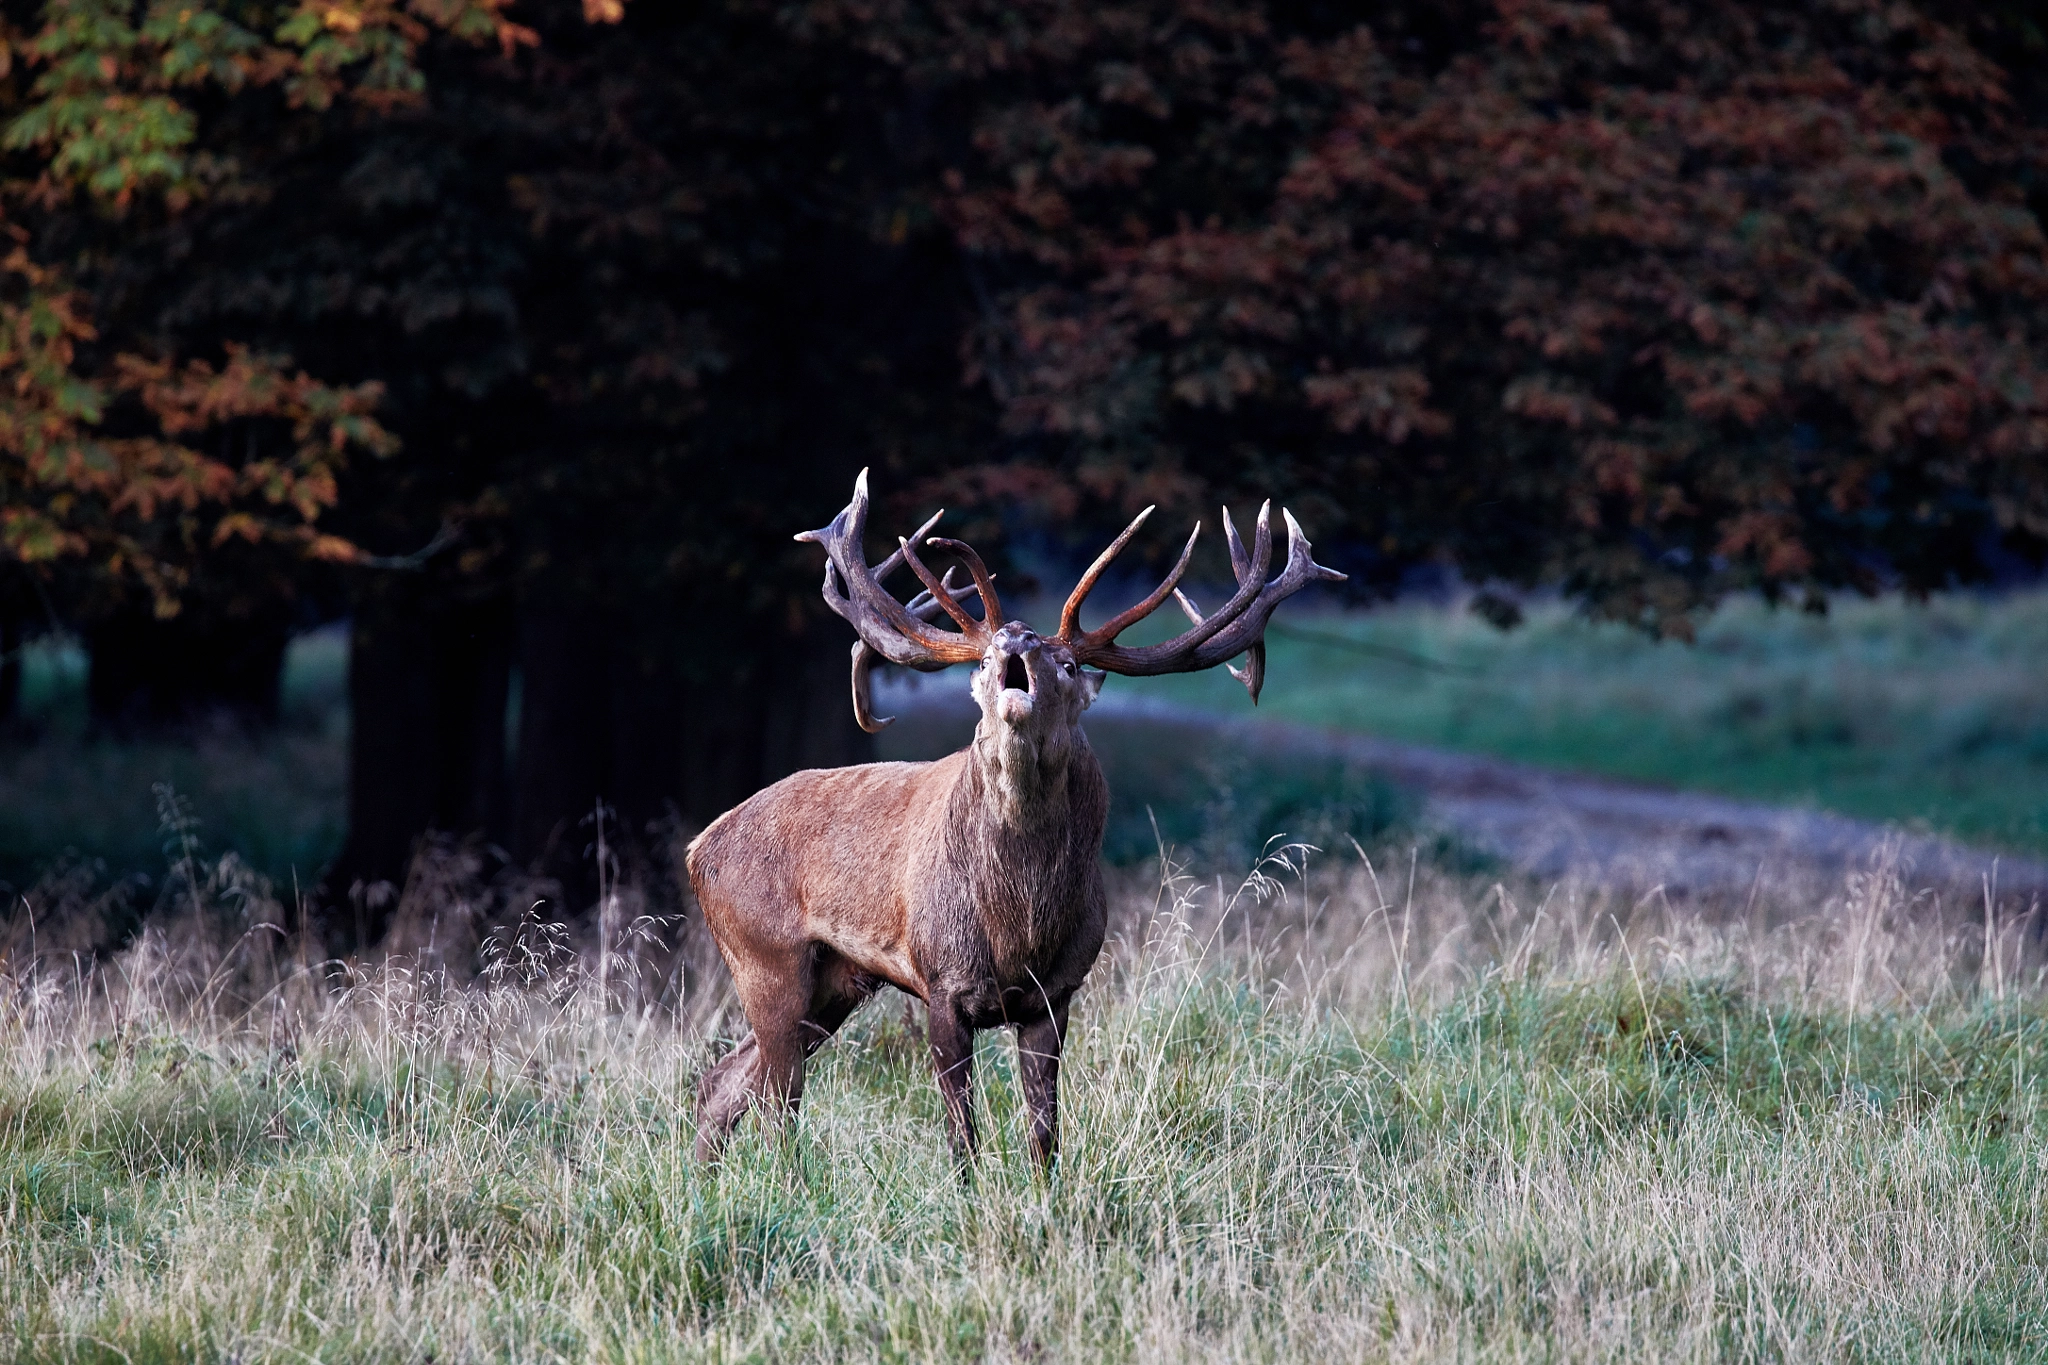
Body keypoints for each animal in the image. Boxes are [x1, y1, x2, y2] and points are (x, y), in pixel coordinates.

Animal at [686, 470, 1344, 1171]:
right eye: (978, 662)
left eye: (1072, 665)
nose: (1017, 638)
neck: (1018, 927)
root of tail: (698, 849)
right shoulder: (941, 980)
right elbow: (962, 1134)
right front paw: (968, 1191)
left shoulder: (1056, 993)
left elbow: (1044, 1132)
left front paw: (1042, 1190)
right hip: (765, 953)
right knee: (774, 1100)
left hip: (835, 978)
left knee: (727, 1081)